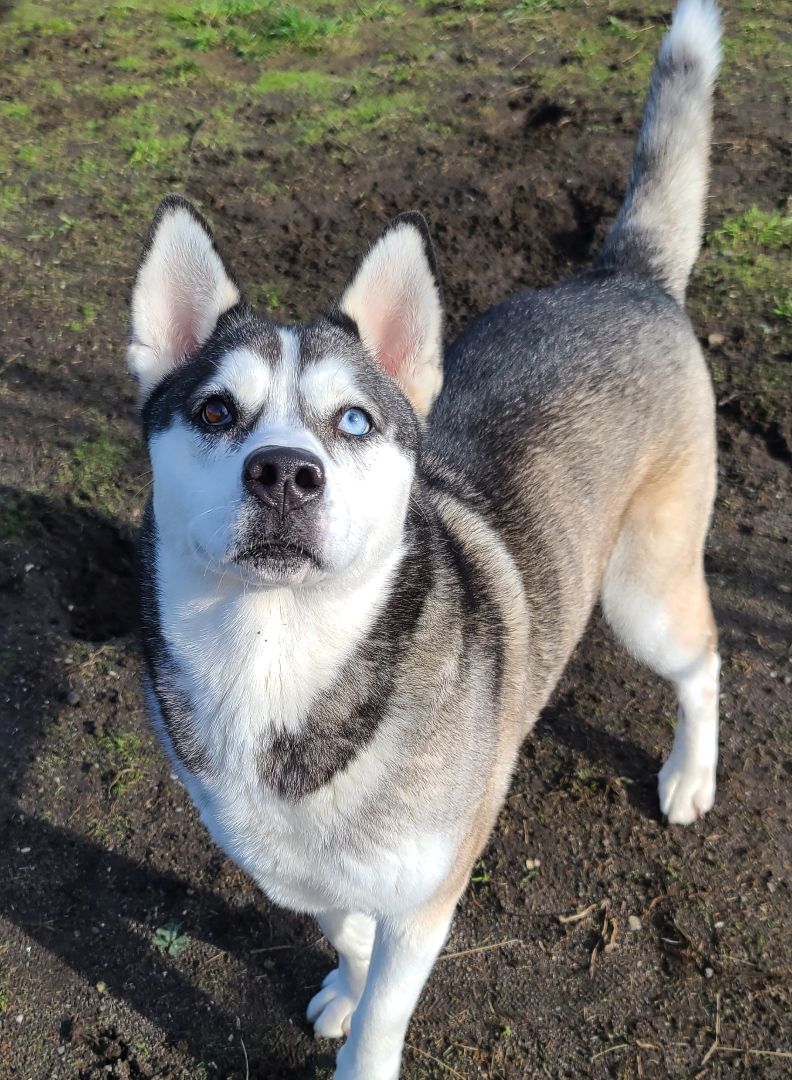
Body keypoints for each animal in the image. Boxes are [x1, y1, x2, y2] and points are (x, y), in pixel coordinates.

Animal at [128, 4, 721, 1075]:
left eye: (354, 421)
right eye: (215, 410)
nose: (285, 473)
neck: (278, 658)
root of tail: (623, 277)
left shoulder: (434, 889)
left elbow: (383, 1019)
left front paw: (362, 1027)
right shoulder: (295, 865)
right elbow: (345, 925)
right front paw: (342, 980)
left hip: (642, 591)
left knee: (703, 661)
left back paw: (690, 773)